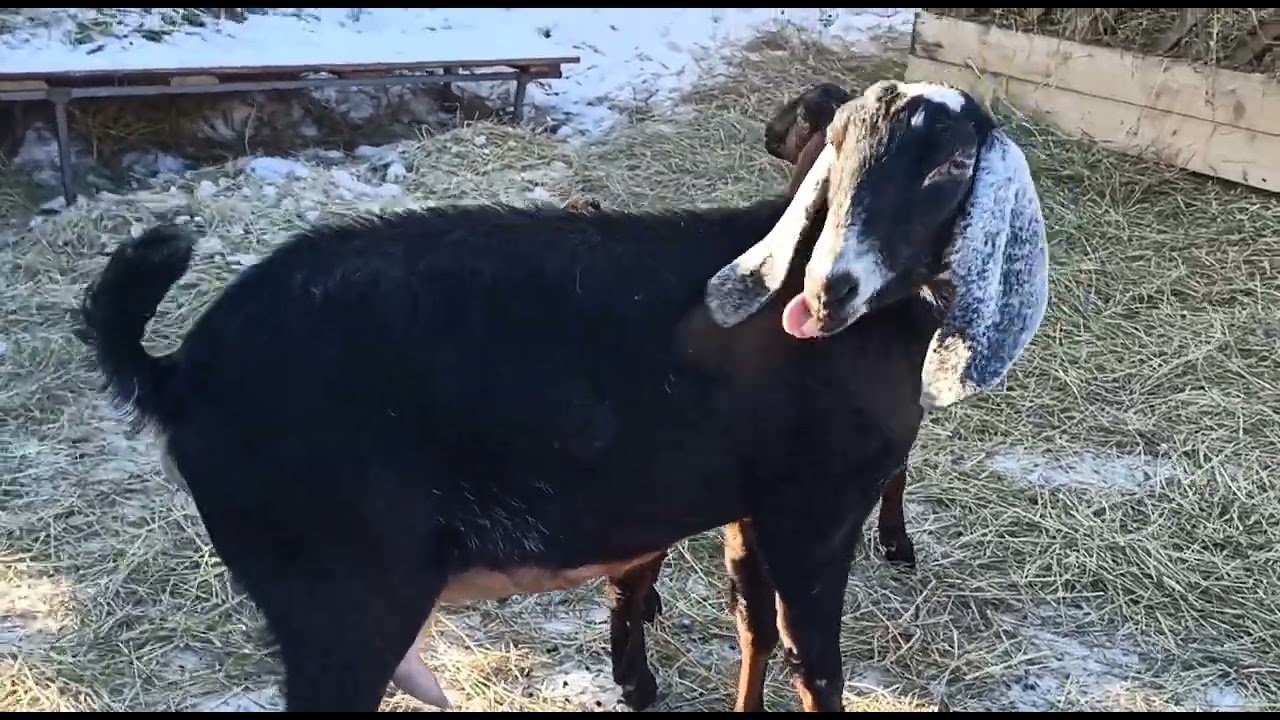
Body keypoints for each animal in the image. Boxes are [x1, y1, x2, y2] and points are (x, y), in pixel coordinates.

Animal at [77, 79, 1049, 712]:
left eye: (950, 165)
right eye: (837, 150)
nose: (829, 287)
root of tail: (175, 371)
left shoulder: (755, 505)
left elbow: (755, 630)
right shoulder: (816, 510)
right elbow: (819, 662)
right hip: (340, 597)